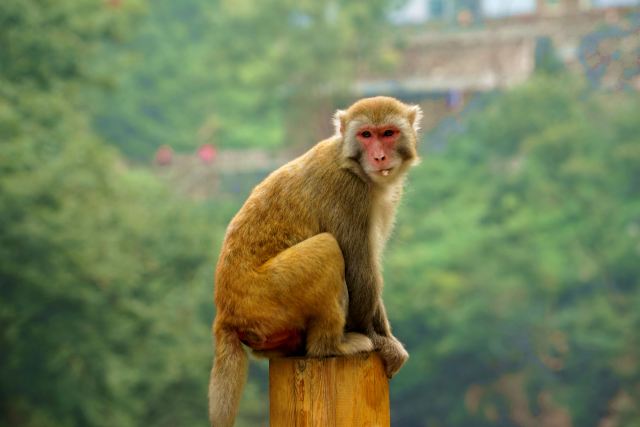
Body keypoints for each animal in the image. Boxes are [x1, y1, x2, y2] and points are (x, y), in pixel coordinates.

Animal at [208, 97, 422, 427]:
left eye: (388, 133)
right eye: (366, 135)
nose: (379, 156)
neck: (351, 164)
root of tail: (227, 315)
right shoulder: (348, 194)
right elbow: (360, 270)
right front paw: (383, 342)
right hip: (267, 297)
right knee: (327, 248)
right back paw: (333, 347)